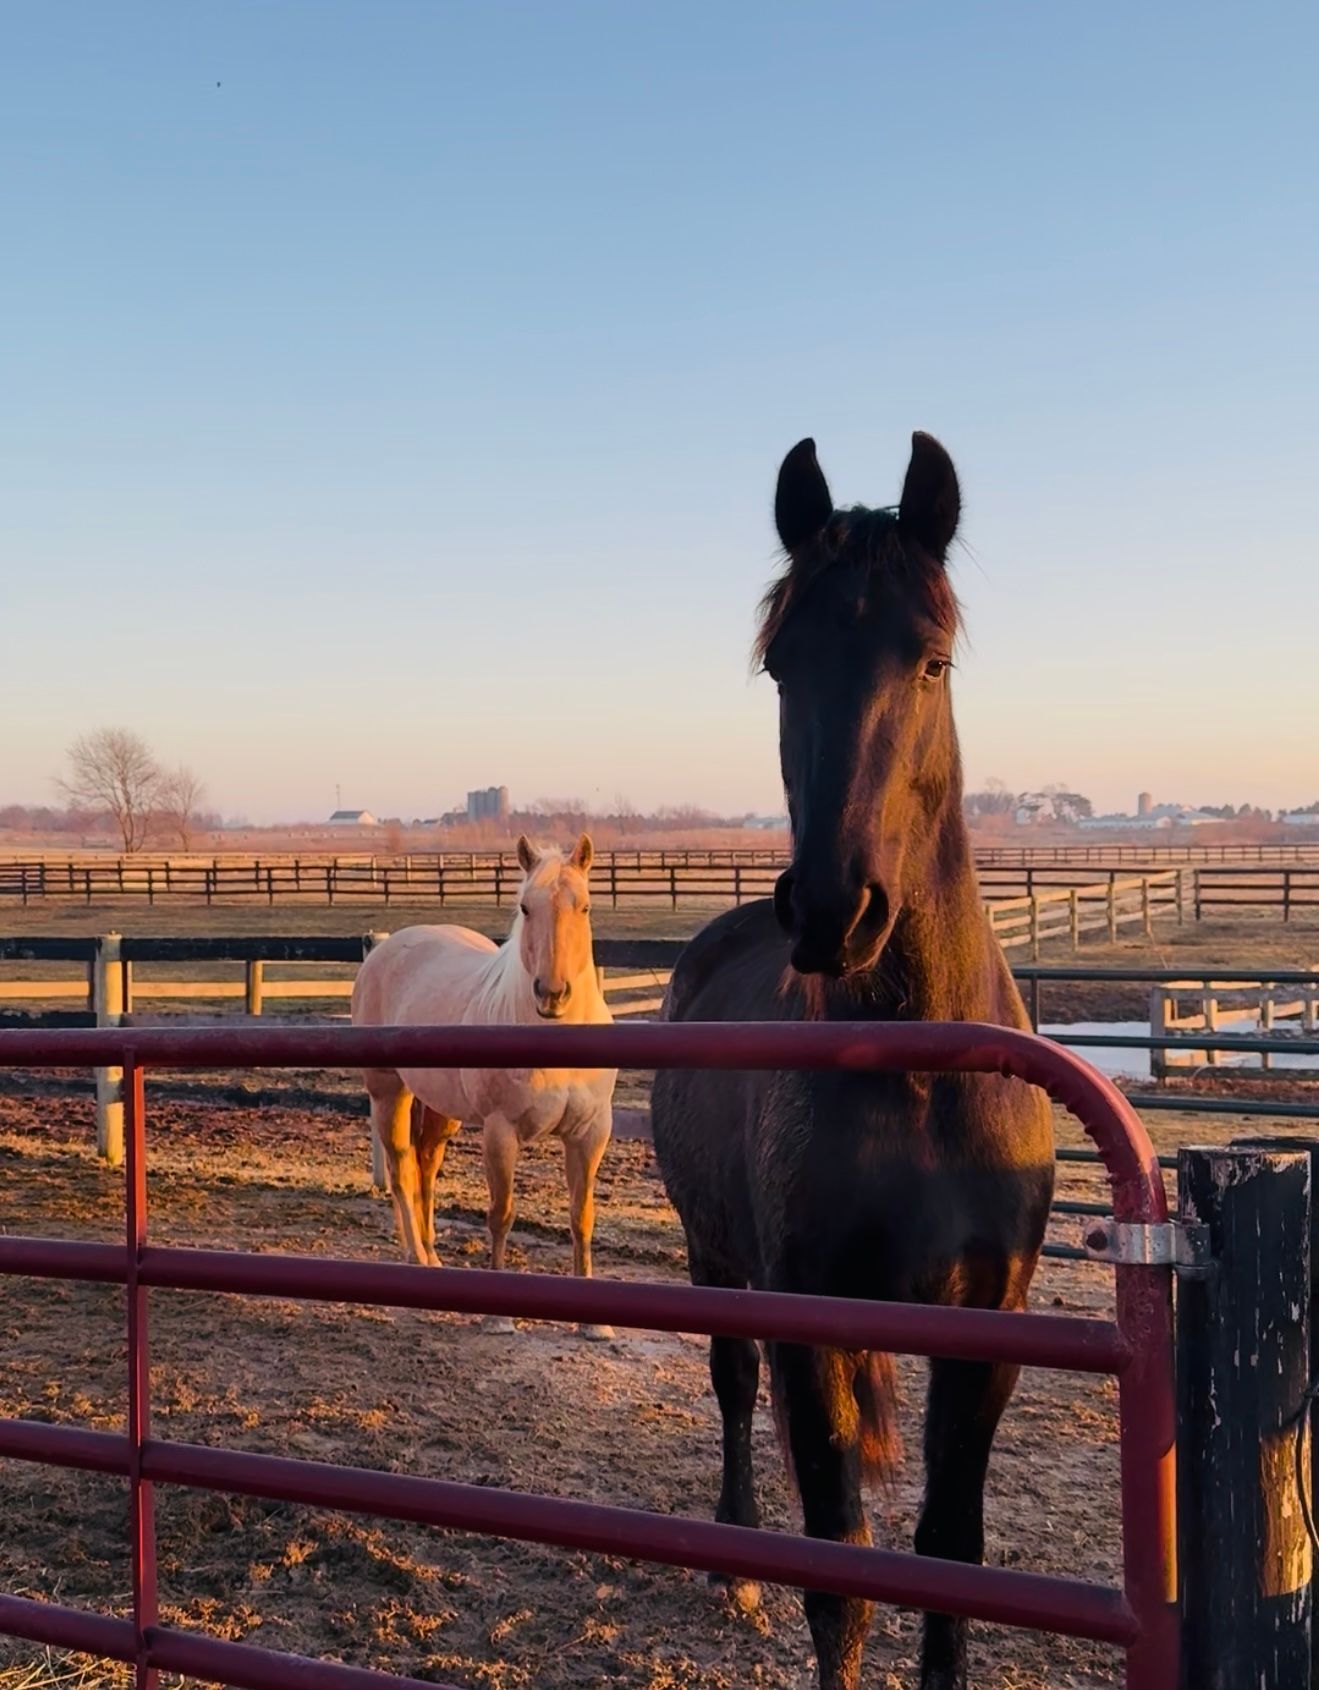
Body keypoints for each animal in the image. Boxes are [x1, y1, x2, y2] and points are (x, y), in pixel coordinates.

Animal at [351, 833, 618, 1339]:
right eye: (526, 907)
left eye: (586, 906)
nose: (552, 994)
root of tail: (386, 949)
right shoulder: (501, 1132)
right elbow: (501, 1214)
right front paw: (500, 1317)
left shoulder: (590, 1133)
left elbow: (582, 1216)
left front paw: (595, 1324)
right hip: (389, 1094)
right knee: (401, 1167)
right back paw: (416, 1258)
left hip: (440, 1110)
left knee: (425, 1166)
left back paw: (434, 1256)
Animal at [650, 434, 1055, 1689]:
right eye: (781, 665)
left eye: (929, 661)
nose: (833, 910)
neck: (917, 1076)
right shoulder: (810, 1318)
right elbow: (841, 1570)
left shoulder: (987, 1330)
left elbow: (947, 1551)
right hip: (713, 1257)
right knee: (732, 1386)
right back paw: (732, 1557)